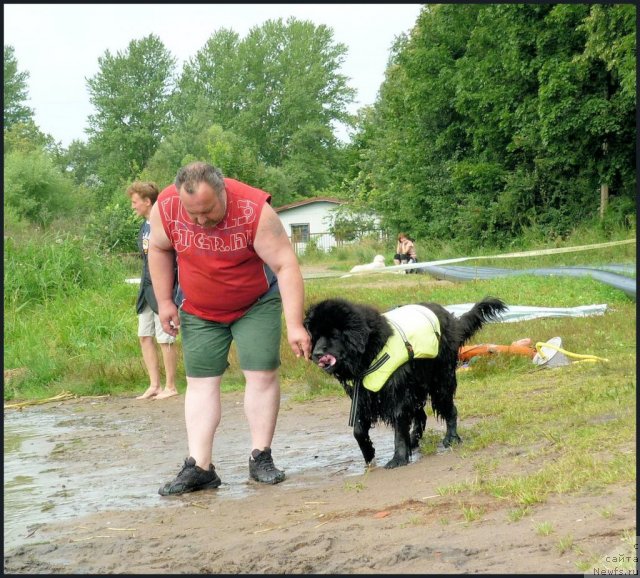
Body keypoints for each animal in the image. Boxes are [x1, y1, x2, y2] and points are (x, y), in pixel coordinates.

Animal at [302, 294, 508, 466]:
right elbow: (358, 430)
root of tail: (449, 318)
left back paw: (451, 438)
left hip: (440, 380)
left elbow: (399, 426)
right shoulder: (363, 395)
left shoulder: (397, 393)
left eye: (334, 335)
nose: (316, 354)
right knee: (421, 415)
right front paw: (369, 454)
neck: (371, 351)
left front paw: (398, 458)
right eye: (315, 336)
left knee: (450, 409)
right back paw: (414, 441)